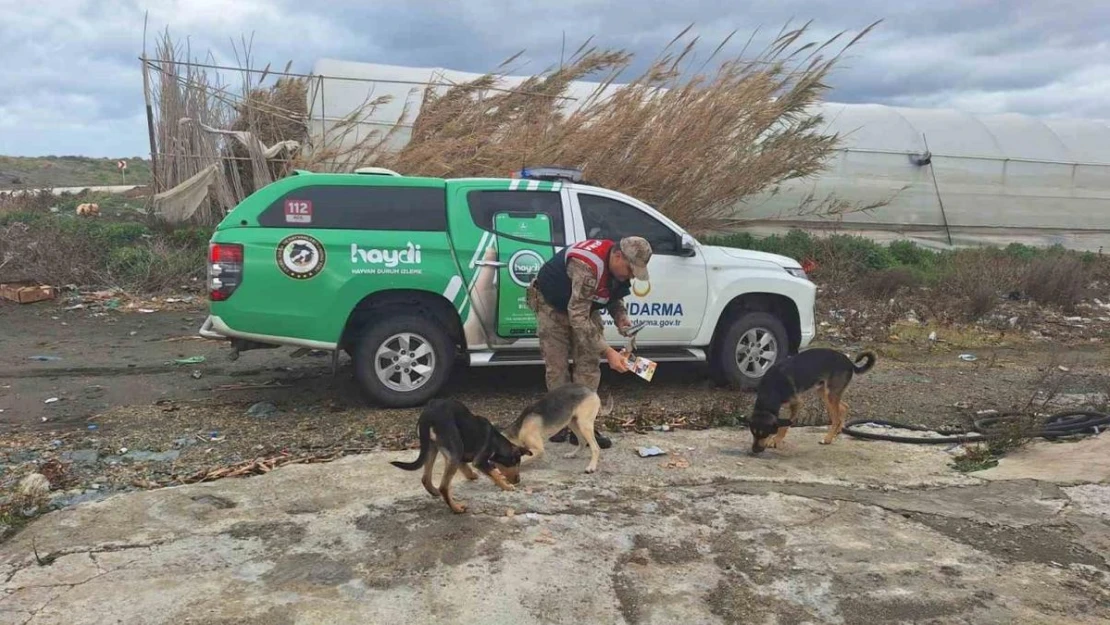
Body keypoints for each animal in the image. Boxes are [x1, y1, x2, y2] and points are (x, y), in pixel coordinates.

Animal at [390, 401, 532, 512]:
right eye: (515, 462)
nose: (518, 480)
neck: (496, 441)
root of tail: (427, 416)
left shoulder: (455, 455)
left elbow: (466, 467)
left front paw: (472, 475)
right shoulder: (478, 460)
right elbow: (493, 473)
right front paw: (506, 486)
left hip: (432, 447)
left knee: (426, 478)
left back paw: (435, 492)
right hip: (454, 448)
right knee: (444, 487)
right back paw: (456, 508)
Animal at [745, 346, 874, 455]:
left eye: (765, 434)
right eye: (753, 433)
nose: (754, 450)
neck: (771, 388)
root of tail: (849, 362)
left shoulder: (797, 403)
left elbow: (785, 426)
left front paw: (776, 440)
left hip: (830, 394)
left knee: (836, 418)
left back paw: (828, 439)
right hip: (824, 393)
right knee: (844, 407)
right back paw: (837, 431)